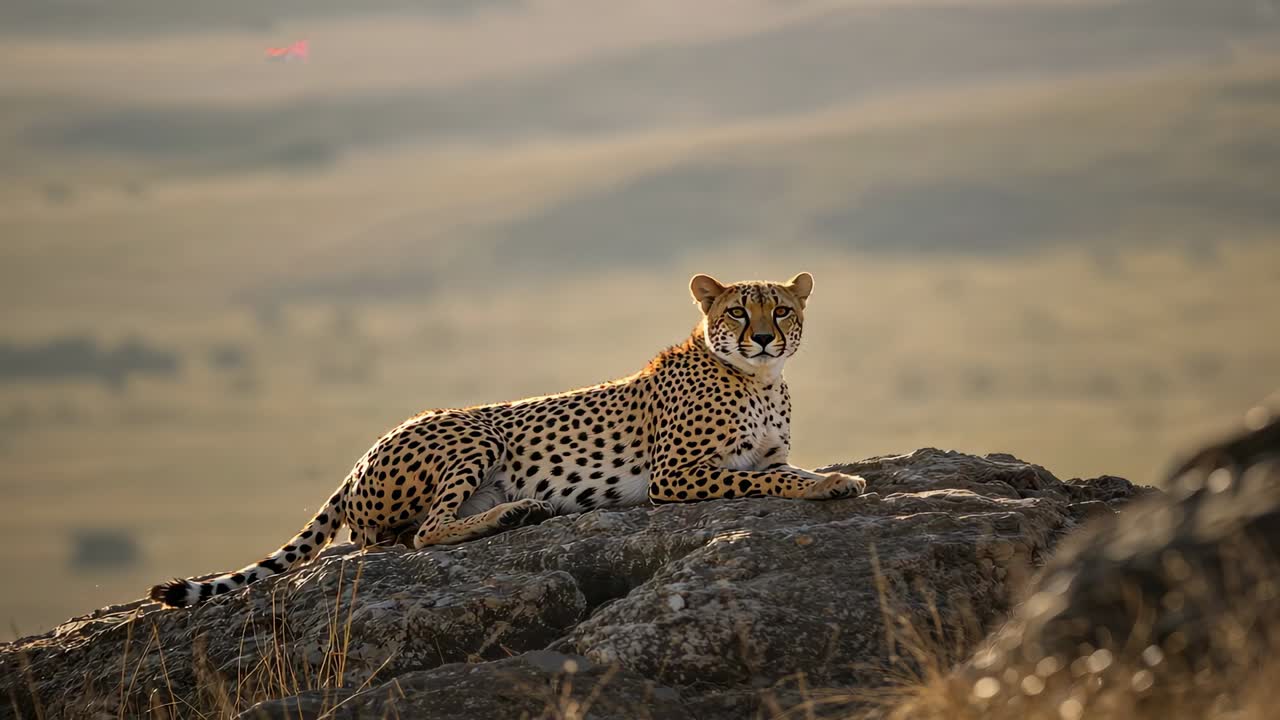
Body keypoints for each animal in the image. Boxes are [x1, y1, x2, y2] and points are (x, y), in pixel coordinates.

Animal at [149, 271, 865, 607]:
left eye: (783, 309)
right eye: (739, 310)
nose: (765, 337)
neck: (757, 378)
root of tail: (360, 458)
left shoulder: (759, 452)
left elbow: (788, 469)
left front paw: (838, 478)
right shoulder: (677, 475)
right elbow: (766, 478)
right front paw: (832, 483)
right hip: (475, 432)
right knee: (417, 535)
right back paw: (514, 513)